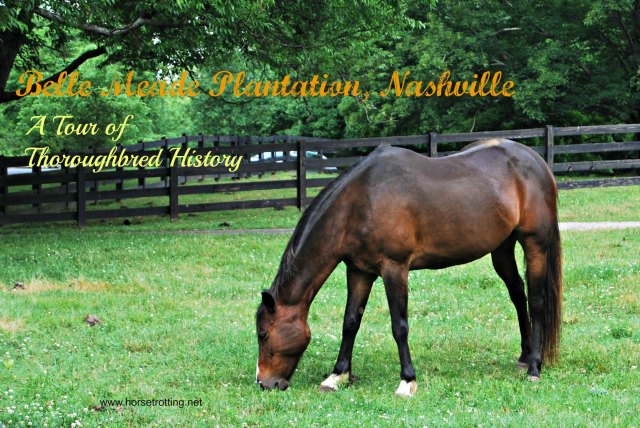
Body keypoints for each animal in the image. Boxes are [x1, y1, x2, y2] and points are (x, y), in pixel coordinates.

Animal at [255, 139, 562, 397]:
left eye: (263, 334)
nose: (264, 383)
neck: (361, 200)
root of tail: (536, 161)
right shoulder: (359, 271)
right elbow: (350, 322)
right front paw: (337, 375)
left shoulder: (394, 269)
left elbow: (399, 326)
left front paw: (407, 380)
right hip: (501, 248)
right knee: (518, 295)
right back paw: (524, 357)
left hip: (534, 244)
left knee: (536, 301)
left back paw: (534, 367)